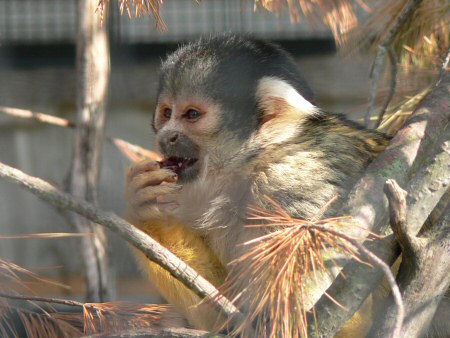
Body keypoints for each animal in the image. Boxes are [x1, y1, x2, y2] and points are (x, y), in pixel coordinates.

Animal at [124, 35, 404, 336]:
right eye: (166, 113)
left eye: (191, 114)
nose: (167, 136)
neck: (257, 158)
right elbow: (225, 315)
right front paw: (147, 208)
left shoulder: (292, 182)